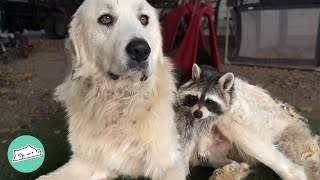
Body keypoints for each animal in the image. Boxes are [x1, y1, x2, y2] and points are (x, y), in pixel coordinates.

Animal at [37, 0, 188, 179]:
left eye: (144, 19)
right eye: (106, 19)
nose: (141, 50)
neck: (119, 103)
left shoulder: (169, 164)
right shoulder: (88, 163)